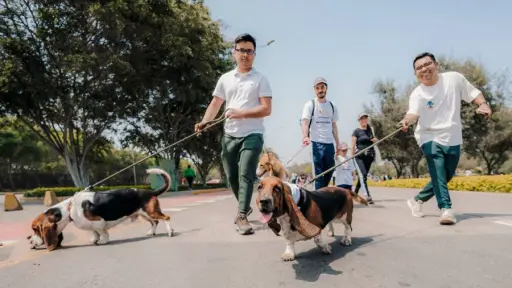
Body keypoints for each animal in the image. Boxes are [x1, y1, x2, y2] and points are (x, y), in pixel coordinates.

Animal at [29, 168, 175, 251]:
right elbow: (95, 233)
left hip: (151, 212)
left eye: (36, 229)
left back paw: (170, 232)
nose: (29, 241)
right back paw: (151, 232)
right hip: (145, 214)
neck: (69, 208)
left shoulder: (99, 222)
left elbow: (102, 232)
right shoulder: (93, 225)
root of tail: (151, 192)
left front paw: (103, 241)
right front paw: (94, 240)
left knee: (166, 218)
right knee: (155, 222)